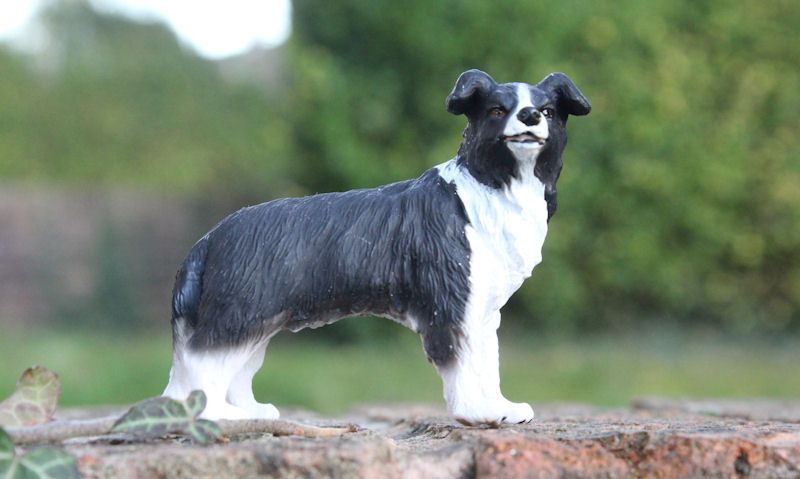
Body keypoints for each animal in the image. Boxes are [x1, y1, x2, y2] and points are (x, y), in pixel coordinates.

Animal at [164, 69, 588, 426]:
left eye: (549, 111)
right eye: (498, 110)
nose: (530, 116)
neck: (488, 188)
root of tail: (209, 240)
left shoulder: (482, 310)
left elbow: (487, 363)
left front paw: (503, 408)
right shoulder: (450, 303)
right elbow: (462, 364)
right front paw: (479, 413)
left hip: (257, 320)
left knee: (234, 369)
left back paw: (251, 410)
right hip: (238, 313)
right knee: (203, 361)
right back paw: (220, 415)